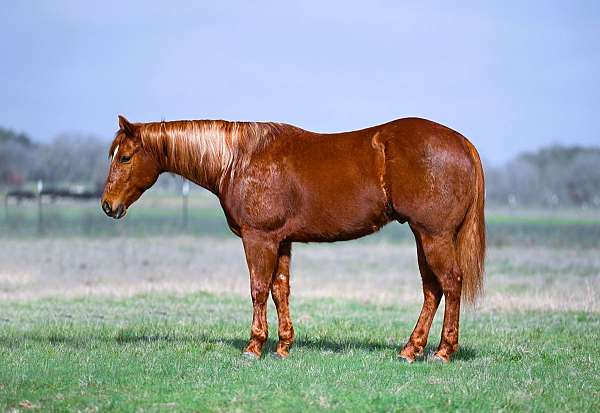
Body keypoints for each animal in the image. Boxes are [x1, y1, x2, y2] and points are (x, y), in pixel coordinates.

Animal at [102, 115, 488, 360]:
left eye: (125, 157)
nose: (108, 206)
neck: (239, 159)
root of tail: (462, 142)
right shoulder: (281, 241)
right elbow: (280, 290)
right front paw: (284, 346)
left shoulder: (258, 239)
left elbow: (258, 289)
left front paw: (254, 346)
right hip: (424, 237)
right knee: (433, 290)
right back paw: (410, 350)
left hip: (433, 236)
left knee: (450, 284)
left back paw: (442, 352)